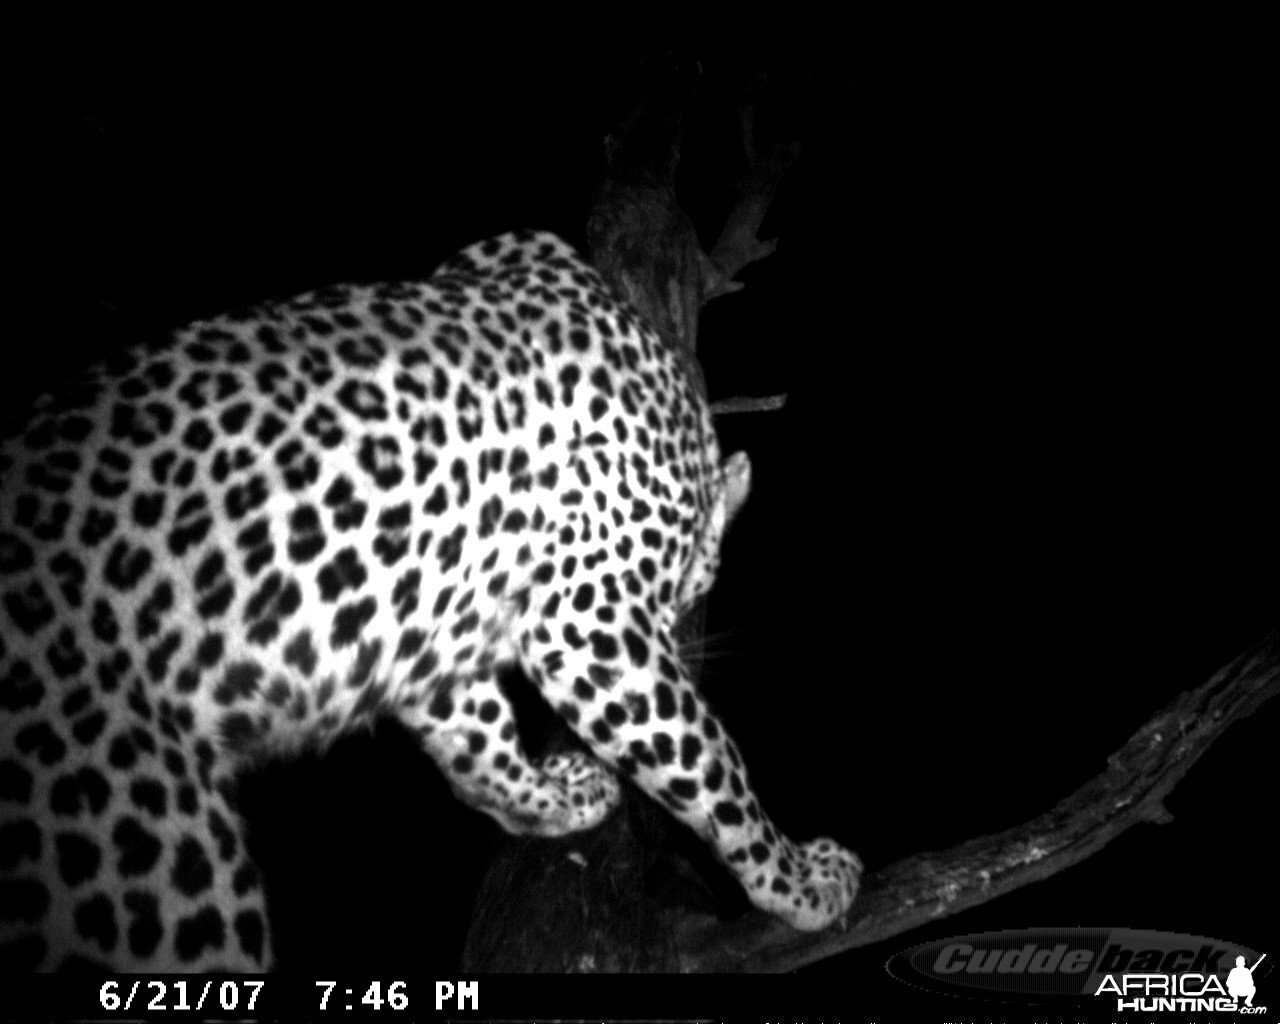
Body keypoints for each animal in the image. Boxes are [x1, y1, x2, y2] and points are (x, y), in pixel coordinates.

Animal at [2, 230, 860, 967]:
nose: (687, 620)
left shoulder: (434, 625)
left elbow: (477, 752)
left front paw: (556, 797)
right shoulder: (590, 623)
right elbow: (714, 766)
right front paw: (800, 882)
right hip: (161, 854)